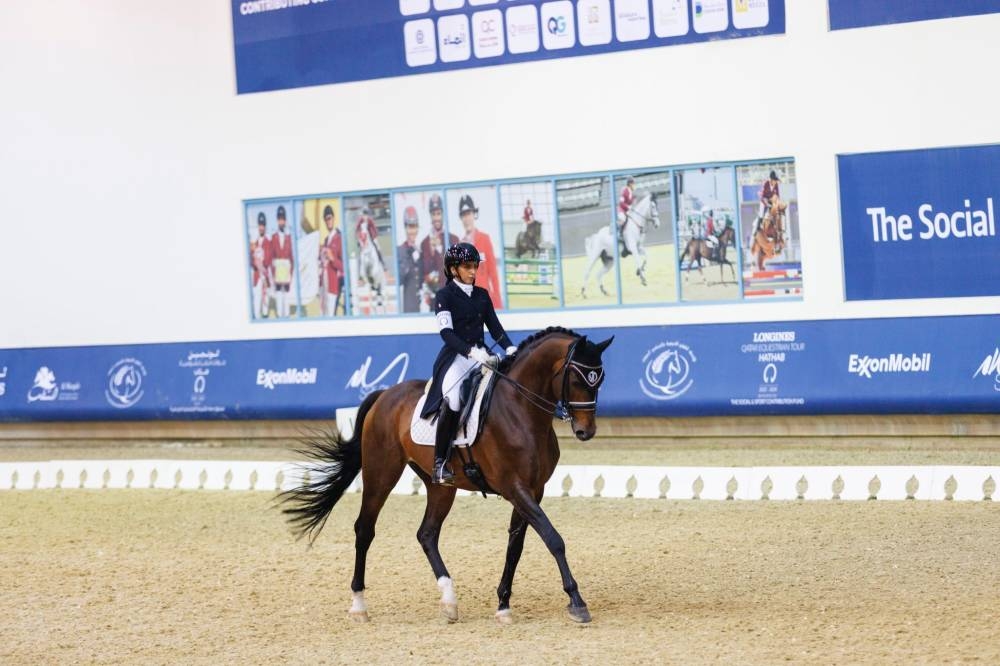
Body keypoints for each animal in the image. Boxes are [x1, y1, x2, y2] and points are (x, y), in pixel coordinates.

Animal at [278, 326, 612, 624]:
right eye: (577, 378)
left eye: (600, 378)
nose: (586, 431)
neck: (520, 411)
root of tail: (385, 394)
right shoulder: (514, 487)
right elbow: (553, 539)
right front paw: (577, 602)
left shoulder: (533, 490)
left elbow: (516, 547)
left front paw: (503, 605)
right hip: (380, 473)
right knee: (365, 530)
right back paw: (359, 605)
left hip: (440, 486)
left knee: (427, 533)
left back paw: (449, 601)